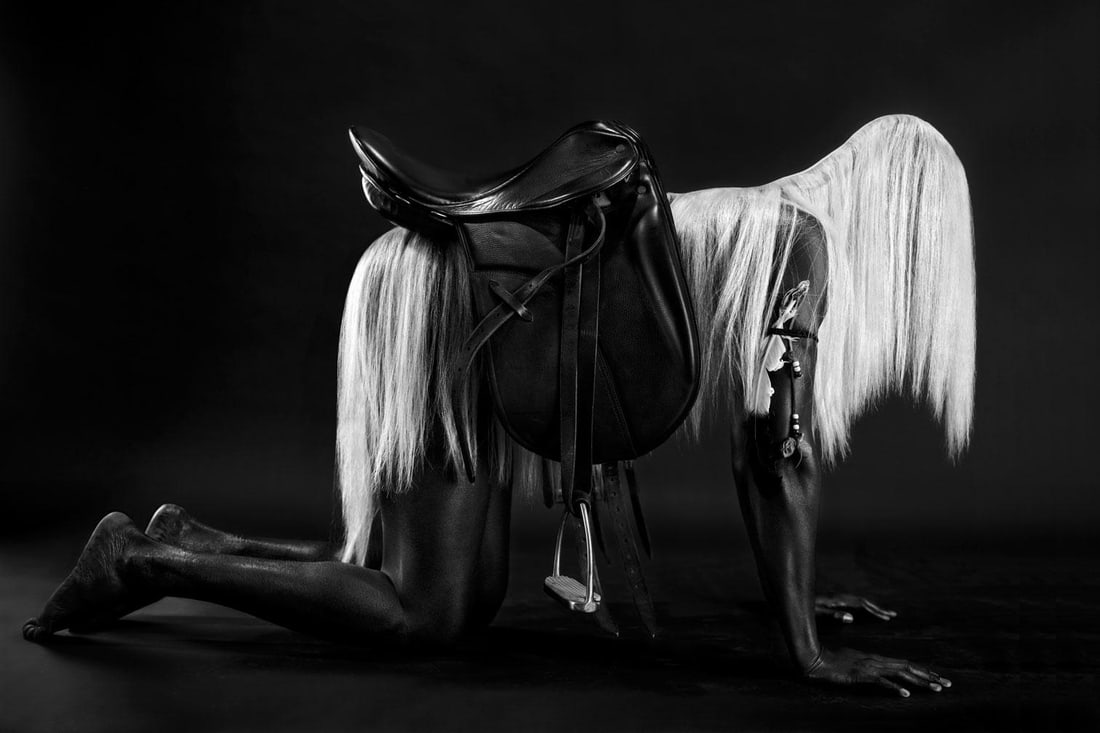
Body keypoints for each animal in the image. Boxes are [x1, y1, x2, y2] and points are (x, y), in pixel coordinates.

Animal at [23, 114, 974, 697]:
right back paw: (106, 566)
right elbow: (772, 457)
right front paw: (823, 658)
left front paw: (829, 608)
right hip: (425, 400)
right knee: (429, 605)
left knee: (350, 551)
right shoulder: (796, 268)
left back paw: (154, 529)